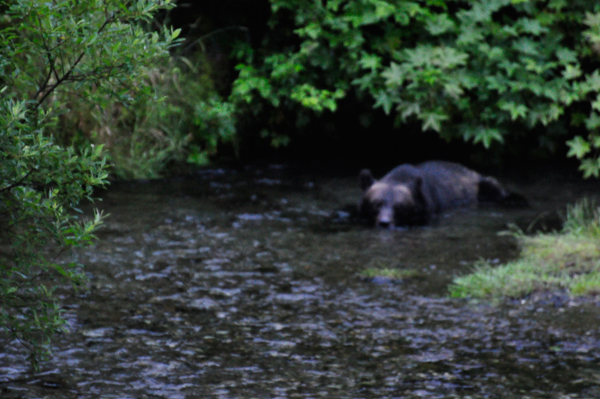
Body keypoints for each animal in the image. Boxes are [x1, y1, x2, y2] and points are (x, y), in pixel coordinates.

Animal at [358, 160, 524, 228]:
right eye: (376, 204)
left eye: (399, 207)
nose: (384, 222)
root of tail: (472, 171)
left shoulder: (427, 206)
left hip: (480, 186)